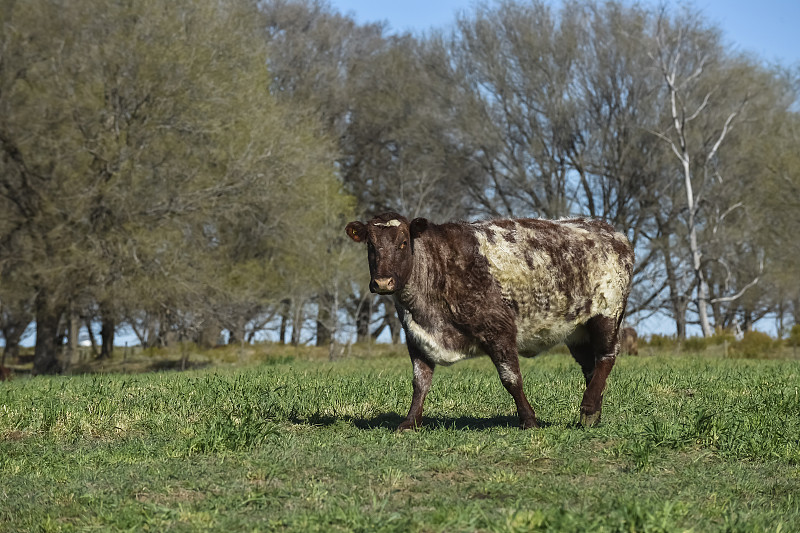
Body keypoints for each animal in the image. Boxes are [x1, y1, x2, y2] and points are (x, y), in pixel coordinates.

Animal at [346, 211, 636, 428]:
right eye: (370, 245)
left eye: (403, 243)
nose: (383, 282)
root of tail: (611, 231)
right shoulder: (415, 336)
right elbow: (420, 382)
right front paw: (410, 422)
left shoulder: (499, 330)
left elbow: (511, 379)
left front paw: (528, 420)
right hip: (577, 330)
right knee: (591, 366)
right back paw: (593, 413)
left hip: (607, 314)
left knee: (607, 357)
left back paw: (588, 407)